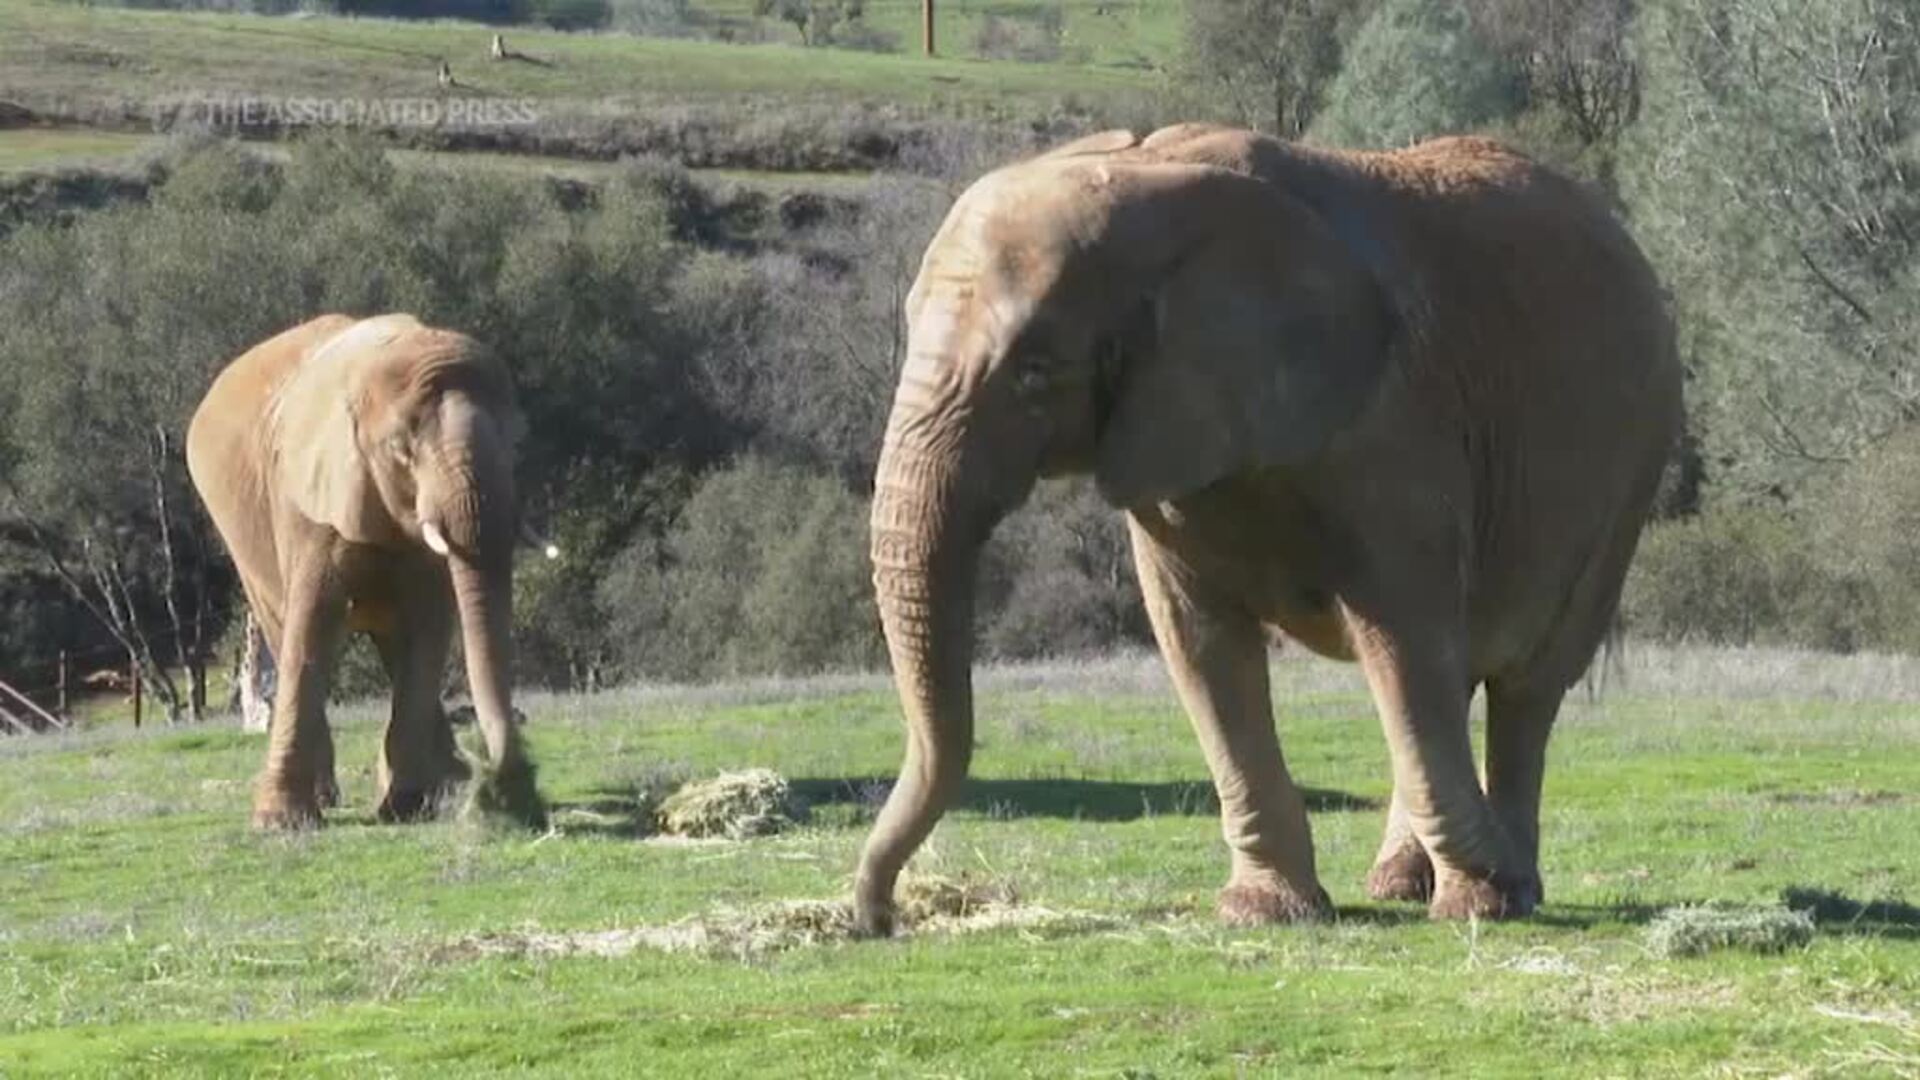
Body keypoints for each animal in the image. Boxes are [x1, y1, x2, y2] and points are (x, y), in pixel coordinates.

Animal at [185, 309, 541, 822]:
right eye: (399, 448)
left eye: (515, 443)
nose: (508, 784)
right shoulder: (309, 504)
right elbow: (311, 625)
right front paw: (279, 822)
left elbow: (427, 628)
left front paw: (407, 805)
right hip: (242, 534)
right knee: (281, 627)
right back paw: (329, 797)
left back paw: (444, 784)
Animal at [856, 122, 1681, 930]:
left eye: (1034, 370)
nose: (878, 917)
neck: (1145, 178)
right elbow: (1201, 644)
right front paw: (1267, 910)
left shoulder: (1393, 425)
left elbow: (1403, 638)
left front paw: (1481, 901)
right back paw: (1397, 885)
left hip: (1631, 468)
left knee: (1525, 685)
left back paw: (1512, 886)